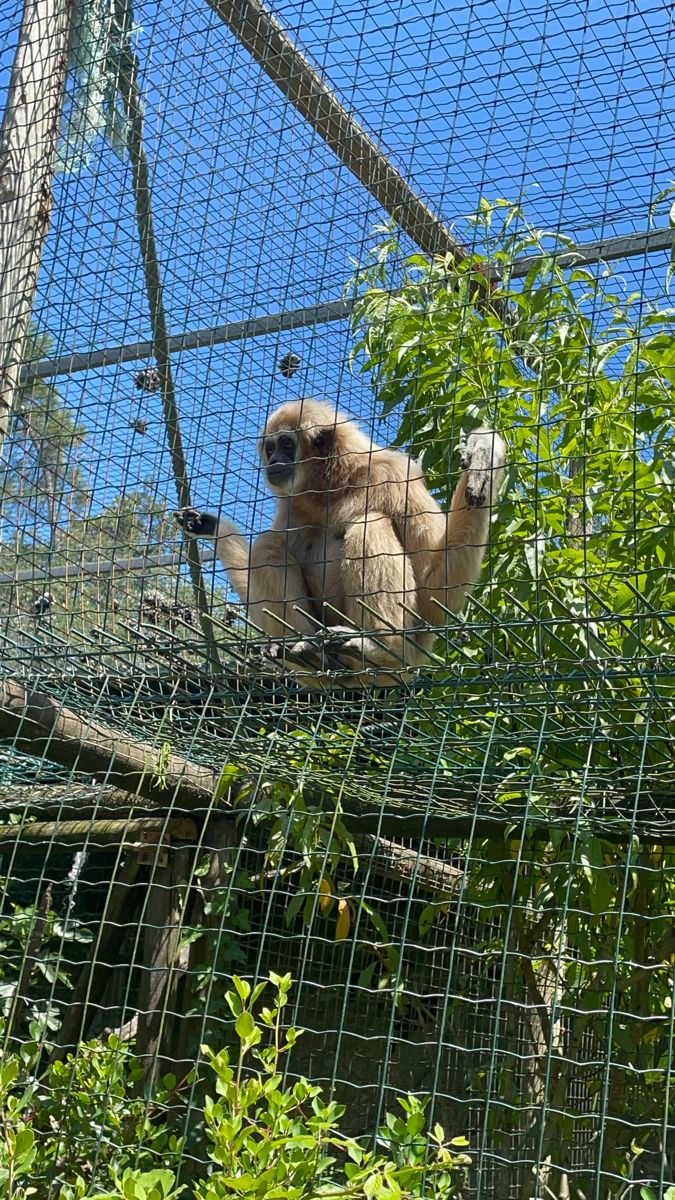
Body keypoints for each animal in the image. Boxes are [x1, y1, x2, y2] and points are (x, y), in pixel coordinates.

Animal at [175, 399, 506, 683]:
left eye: (286, 445)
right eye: (270, 448)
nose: (274, 460)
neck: (332, 489)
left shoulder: (396, 476)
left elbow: (433, 593)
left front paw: (485, 455)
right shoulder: (291, 507)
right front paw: (214, 527)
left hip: (408, 654)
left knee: (369, 525)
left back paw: (380, 650)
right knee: (269, 544)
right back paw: (305, 655)